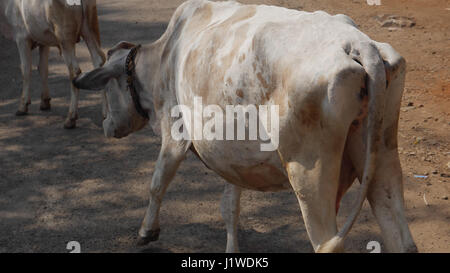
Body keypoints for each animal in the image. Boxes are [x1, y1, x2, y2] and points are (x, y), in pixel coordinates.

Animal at [0, 0, 106, 128]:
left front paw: (23, 106)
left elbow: (26, 70)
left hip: (65, 40)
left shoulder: (22, 39)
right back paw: (106, 114)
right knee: (98, 63)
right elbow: (43, 68)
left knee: (74, 71)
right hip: (89, 31)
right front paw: (45, 101)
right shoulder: (43, 41)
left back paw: (71, 118)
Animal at [73, 0, 414, 252]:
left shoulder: (175, 134)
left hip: (309, 173)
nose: (106, 126)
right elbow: (229, 207)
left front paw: (146, 231)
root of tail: (357, 44)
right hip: (382, 154)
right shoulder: (231, 157)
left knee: (326, 242)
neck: (164, 56)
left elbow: (157, 183)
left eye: (106, 88)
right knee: (400, 236)